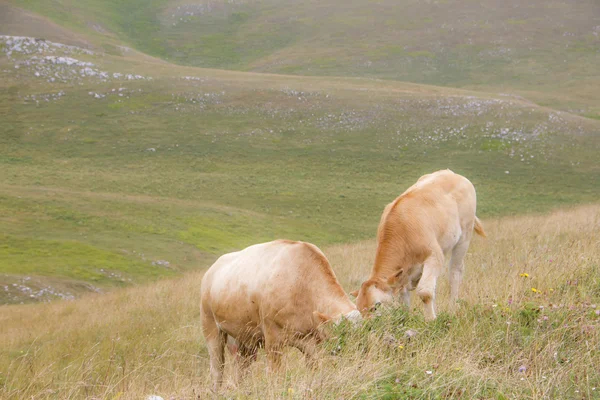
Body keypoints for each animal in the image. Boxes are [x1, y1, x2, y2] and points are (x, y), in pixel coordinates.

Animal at [202, 239, 360, 392]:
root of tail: (211, 270)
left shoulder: (311, 344)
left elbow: (314, 368)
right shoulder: (273, 339)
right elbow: (275, 375)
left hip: (243, 339)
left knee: (241, 368)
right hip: (211, 329)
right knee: (217, 369)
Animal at [350, 170, 486, 320]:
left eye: (376, 305)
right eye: (359, 309)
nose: (369, 325)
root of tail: (453, 174)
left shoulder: (434, 257)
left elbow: (425, 292)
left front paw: (431, 320)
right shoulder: (403, 278)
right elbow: (404, 303)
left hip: (465, 234)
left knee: (455, 272)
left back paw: (452, 308)